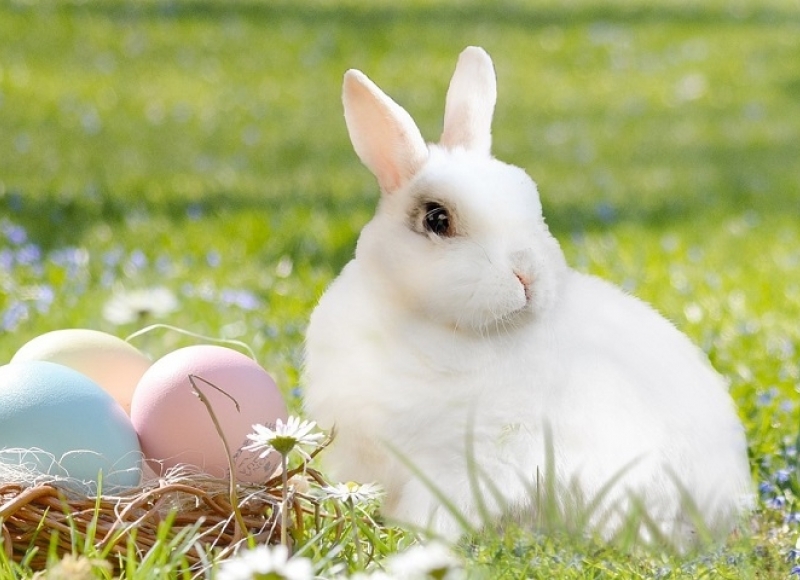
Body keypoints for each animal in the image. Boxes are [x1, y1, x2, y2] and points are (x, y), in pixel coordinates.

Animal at [304, 46, 752, 548]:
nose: (527, 275)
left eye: (531, 205)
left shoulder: (467, 462)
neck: (422, 322)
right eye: (437, 219)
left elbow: (435, 511)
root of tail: (725, 505)